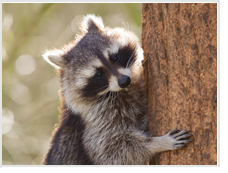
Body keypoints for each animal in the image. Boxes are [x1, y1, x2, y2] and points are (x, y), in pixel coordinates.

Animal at [41, 14, 192, 164]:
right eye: (98, 74)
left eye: (114, 57)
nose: (124, 81)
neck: (119, 91)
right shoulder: (95, 122)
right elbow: (113, 150)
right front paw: (157, 143)